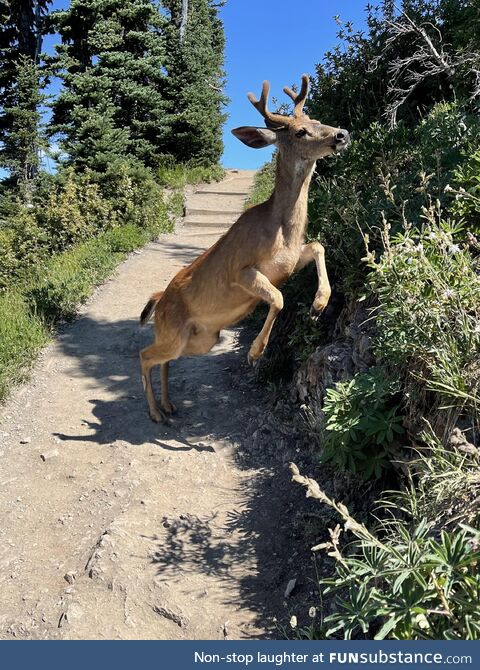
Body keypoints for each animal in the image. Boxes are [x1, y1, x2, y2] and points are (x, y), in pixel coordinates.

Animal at [139, 75, 350, 422]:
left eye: (316, 119)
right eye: (300, 131)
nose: (341, 134)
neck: (282, 230)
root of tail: (159, 300)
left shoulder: (290, 261)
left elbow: (318, 245)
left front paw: (319, 305)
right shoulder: (240, 270)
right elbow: (278, 298)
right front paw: (255, 352)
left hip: (199, 339)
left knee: (163, 360)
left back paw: (168, 406)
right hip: (174, 331)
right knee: (144, 355)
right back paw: (155, 412)